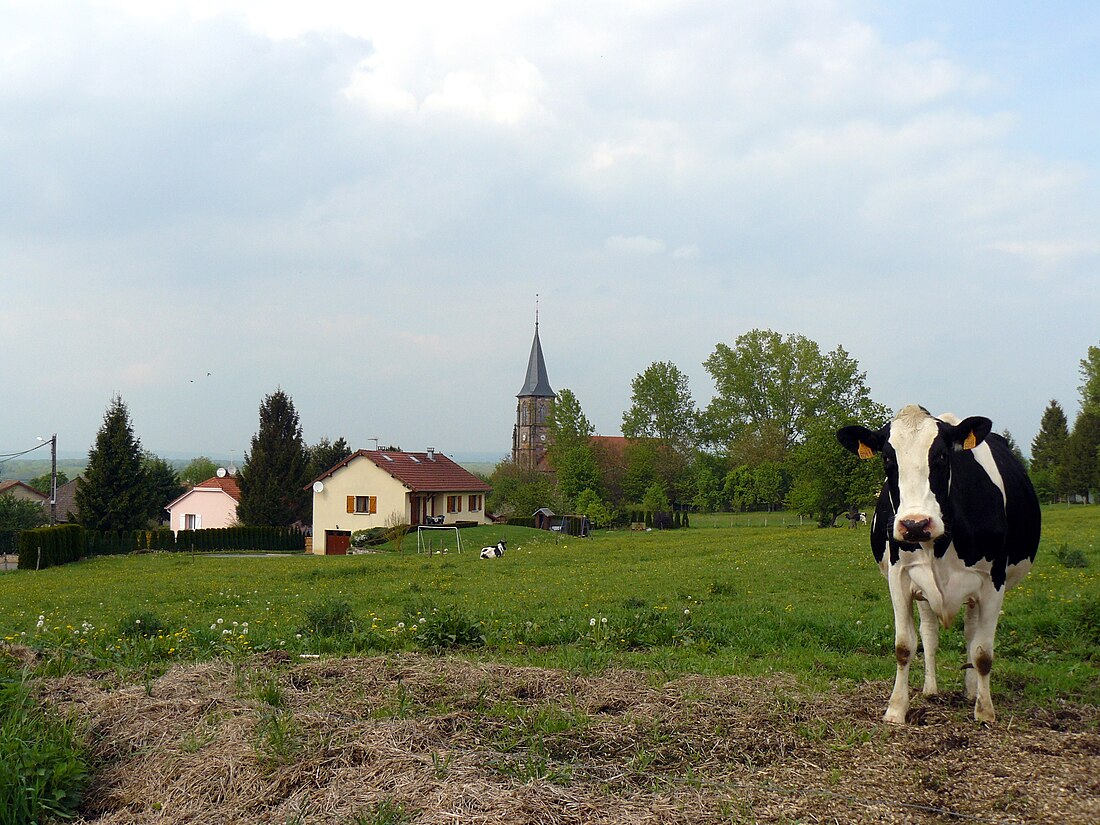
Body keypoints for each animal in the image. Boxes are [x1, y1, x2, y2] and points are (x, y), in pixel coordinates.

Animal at [840, 404, 1038, 721]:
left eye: (943, 455)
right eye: (887, 458)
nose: (915, 524)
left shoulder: (993, 581)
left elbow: (983, 652)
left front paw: (985, 711)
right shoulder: (900, 576)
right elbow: (904, 645)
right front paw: (896, 709)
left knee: (971, 635)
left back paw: (971, 690)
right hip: (923, 591)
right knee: (930, 634)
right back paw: (931, 689)